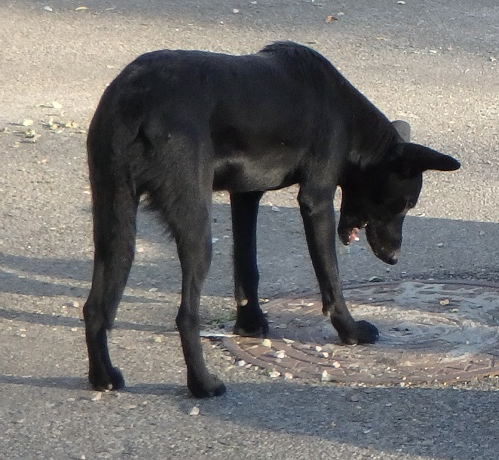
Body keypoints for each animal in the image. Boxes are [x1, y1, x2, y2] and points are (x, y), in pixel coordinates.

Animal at [82, 41, 460, 398]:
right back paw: (203, 384)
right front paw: (350, 331)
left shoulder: (245, 197)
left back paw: (104, 377)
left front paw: (250, 324)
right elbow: (331, 279)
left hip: (114, 218)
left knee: (95, 307)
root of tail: (137, 100)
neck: (348, 117)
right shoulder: (317, 200)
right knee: (186, 315)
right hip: (195, 226)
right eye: (405, 204)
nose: (394, 257)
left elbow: (247, 268)